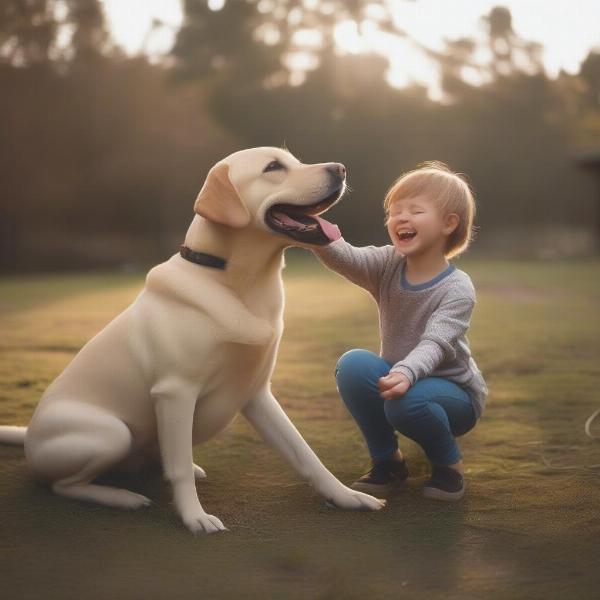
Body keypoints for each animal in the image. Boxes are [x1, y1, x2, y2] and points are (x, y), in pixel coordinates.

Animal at [0, 148, 384, 532]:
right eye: (273, 167)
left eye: (295, 160)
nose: (341, 169)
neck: (232, 278)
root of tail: (29, 434)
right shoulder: (176, 391)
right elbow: (180, 468)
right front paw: (194, 517)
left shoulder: (258, 394)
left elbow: (305, 453)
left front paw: (345, 496)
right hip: (110, 432)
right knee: (64, 484)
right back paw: (122, 497)